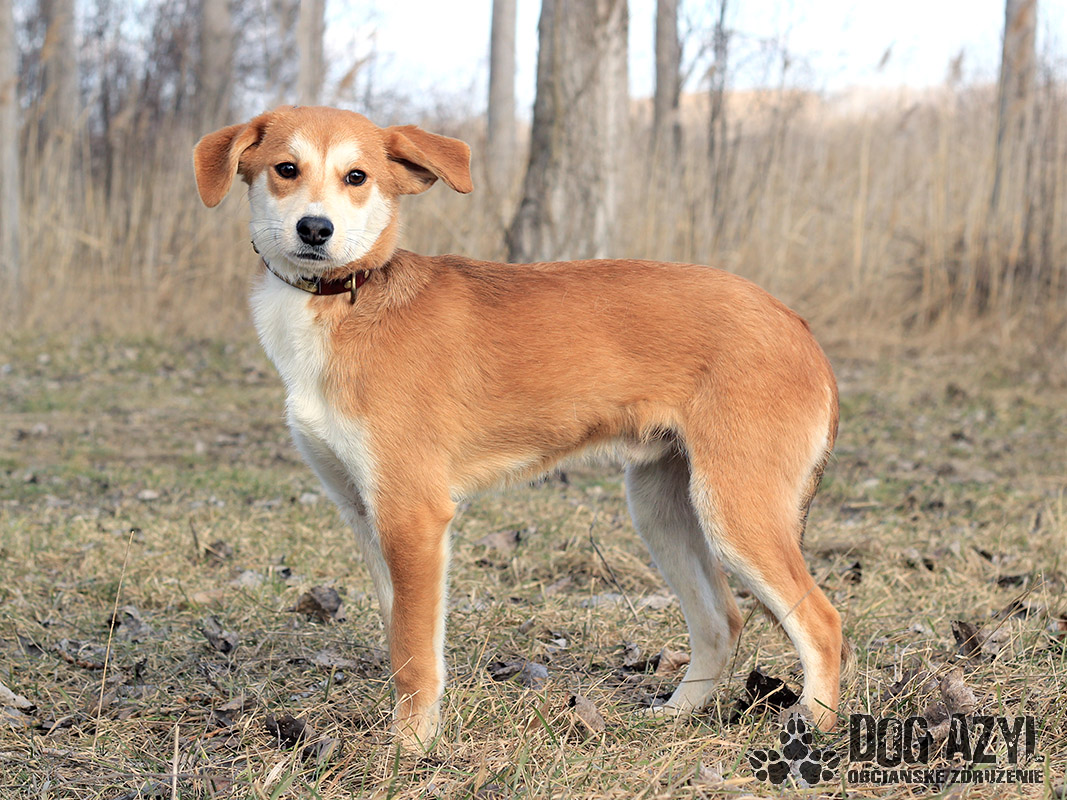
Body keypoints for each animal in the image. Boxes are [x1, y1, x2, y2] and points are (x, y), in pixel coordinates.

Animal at [193, 105, 843, 748]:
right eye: (286, 169)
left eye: (357, 177)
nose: (315, 230)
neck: (349, 301)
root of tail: (797, 324)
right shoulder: (365, 514)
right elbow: (404, 639)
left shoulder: (412, 516)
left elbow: (413, 652)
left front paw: (410, 750)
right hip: (663, 509)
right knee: (721, 620)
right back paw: (674, 715)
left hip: (735, 511)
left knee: (822, 621)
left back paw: (810, 731)